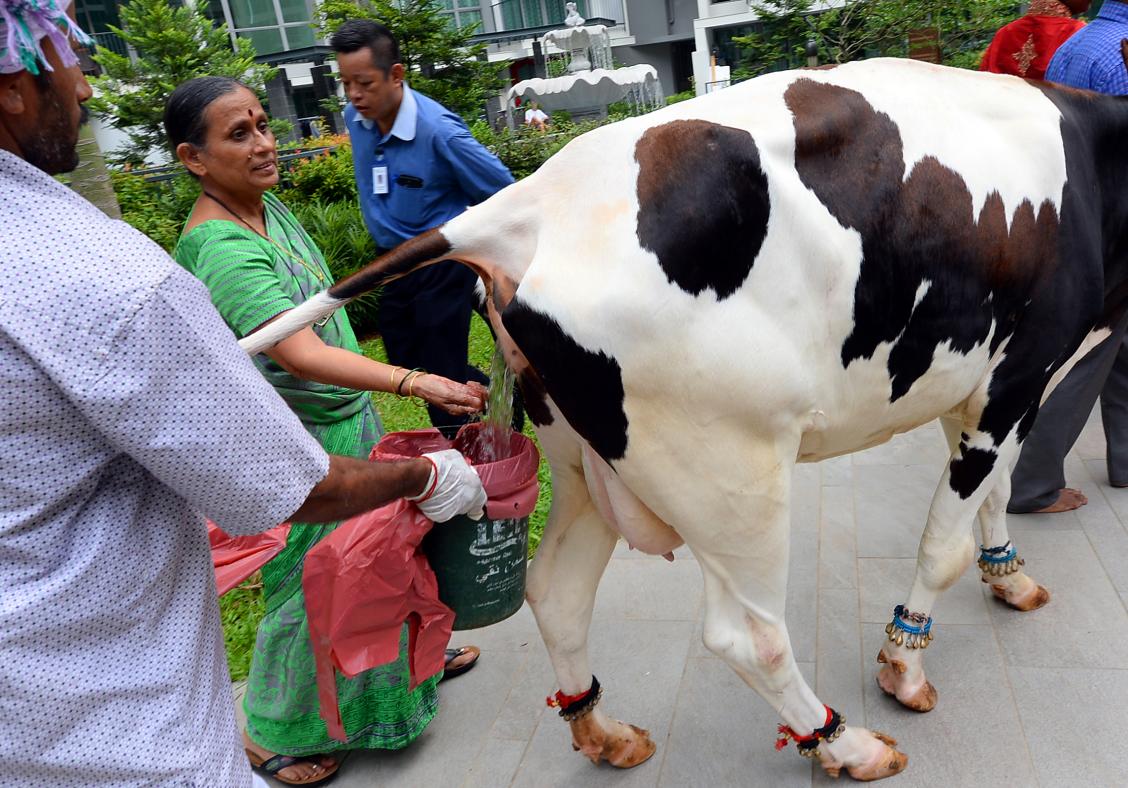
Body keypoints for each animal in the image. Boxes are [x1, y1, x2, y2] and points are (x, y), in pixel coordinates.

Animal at [240, 58, 1128, 780]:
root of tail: (529, 202)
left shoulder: (980, 383)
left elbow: (991, 494)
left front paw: (1010, 576)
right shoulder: (1017, 374)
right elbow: (945, 540)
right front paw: (903, 667)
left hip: (581, 463)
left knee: (556, 591)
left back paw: (603, 733)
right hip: (733, 472)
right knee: (747, 635)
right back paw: (844, 743)